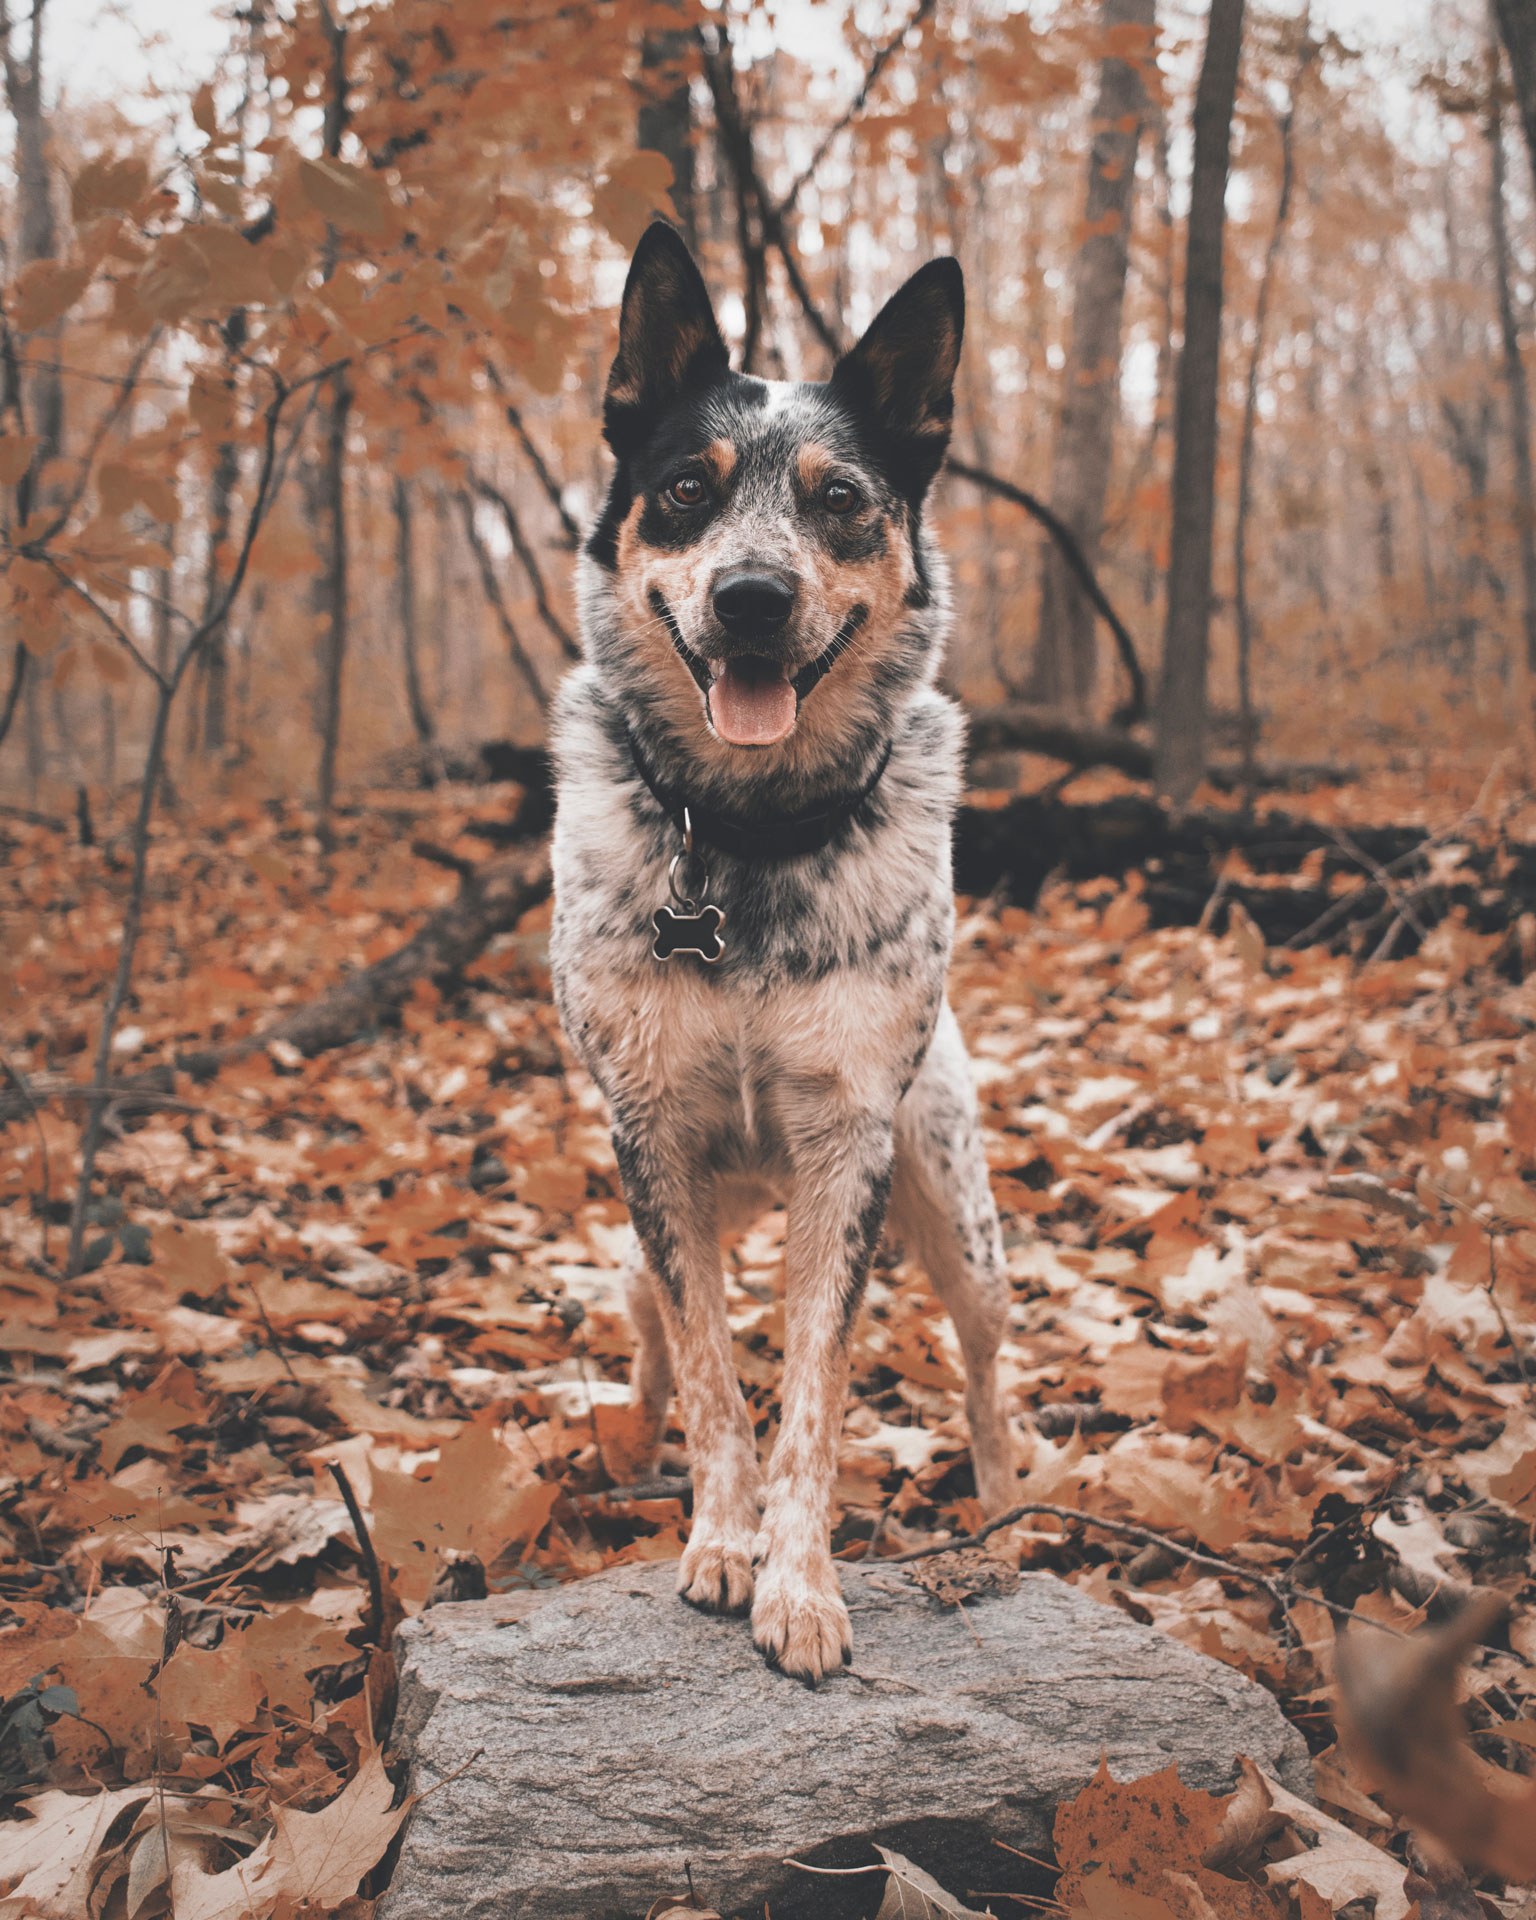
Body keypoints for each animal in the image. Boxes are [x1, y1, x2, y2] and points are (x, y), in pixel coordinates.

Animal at [552, 224, 1021, 1681]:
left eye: (843, 500)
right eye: (685, 490)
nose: (753, 598)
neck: (747, 841)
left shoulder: (846, 1147)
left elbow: (814, 1389)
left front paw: (800, 1584)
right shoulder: (650, 1134)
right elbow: (715, 1371)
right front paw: (720, 1537)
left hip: (955, 1207)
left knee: (989, 1370)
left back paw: (1010, 1513)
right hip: (638, 1231)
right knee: (654, 1330)